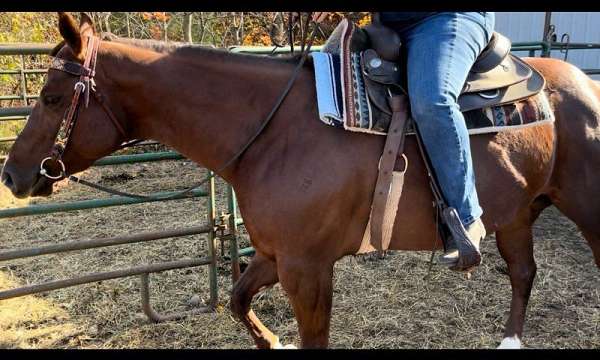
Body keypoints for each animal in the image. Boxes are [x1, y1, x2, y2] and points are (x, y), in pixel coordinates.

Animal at [3, 12, 600, 348]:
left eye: (51, 97)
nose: (12, 175)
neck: (274, 130)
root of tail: (580, 83)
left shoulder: (308, 270)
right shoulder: (275, 255)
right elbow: (238, 301)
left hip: (582, 207)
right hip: (518, 213)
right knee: (522, 274)